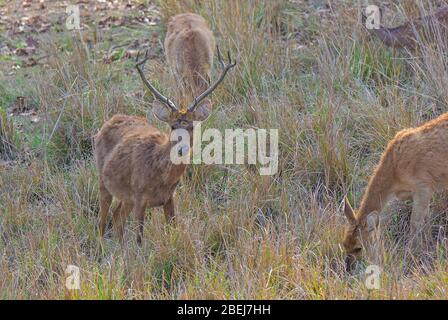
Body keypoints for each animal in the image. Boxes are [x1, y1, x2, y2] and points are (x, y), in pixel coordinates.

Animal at [93, 12, 236, 244]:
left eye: (192, 126)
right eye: (172, 125)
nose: (182, 149)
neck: (160, 176)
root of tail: (112, 118)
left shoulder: (169, 199)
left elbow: (173, 230)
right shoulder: (139, 196)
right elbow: (139, 239)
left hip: (125, 196)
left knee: (117, 218)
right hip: (103, 180)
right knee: (102, 220)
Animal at [344, 112, 448, 270]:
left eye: (358, 248)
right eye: (344, 244)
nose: (348, 267)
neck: (394, 172)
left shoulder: (423, 185)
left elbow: (415, 222)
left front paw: (413, 254)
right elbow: (426, 219)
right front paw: (428, 246)